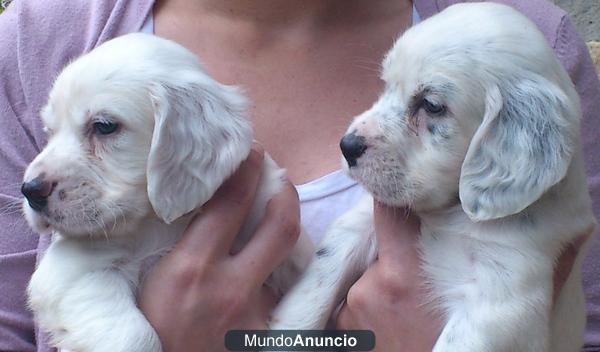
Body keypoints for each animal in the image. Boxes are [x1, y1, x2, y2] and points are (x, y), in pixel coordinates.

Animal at [22, 33, 314, 352]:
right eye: (50, 132)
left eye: (105, 126)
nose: (29, 190)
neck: (163, 223)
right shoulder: (72, 271)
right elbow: (135, 336)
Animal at [270, 3, 596, 352]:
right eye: (387, 85)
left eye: (431, 105)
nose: (347, 146)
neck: (450, 213)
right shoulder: (357, 224)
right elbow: (317, 283)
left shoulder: (502, 299)